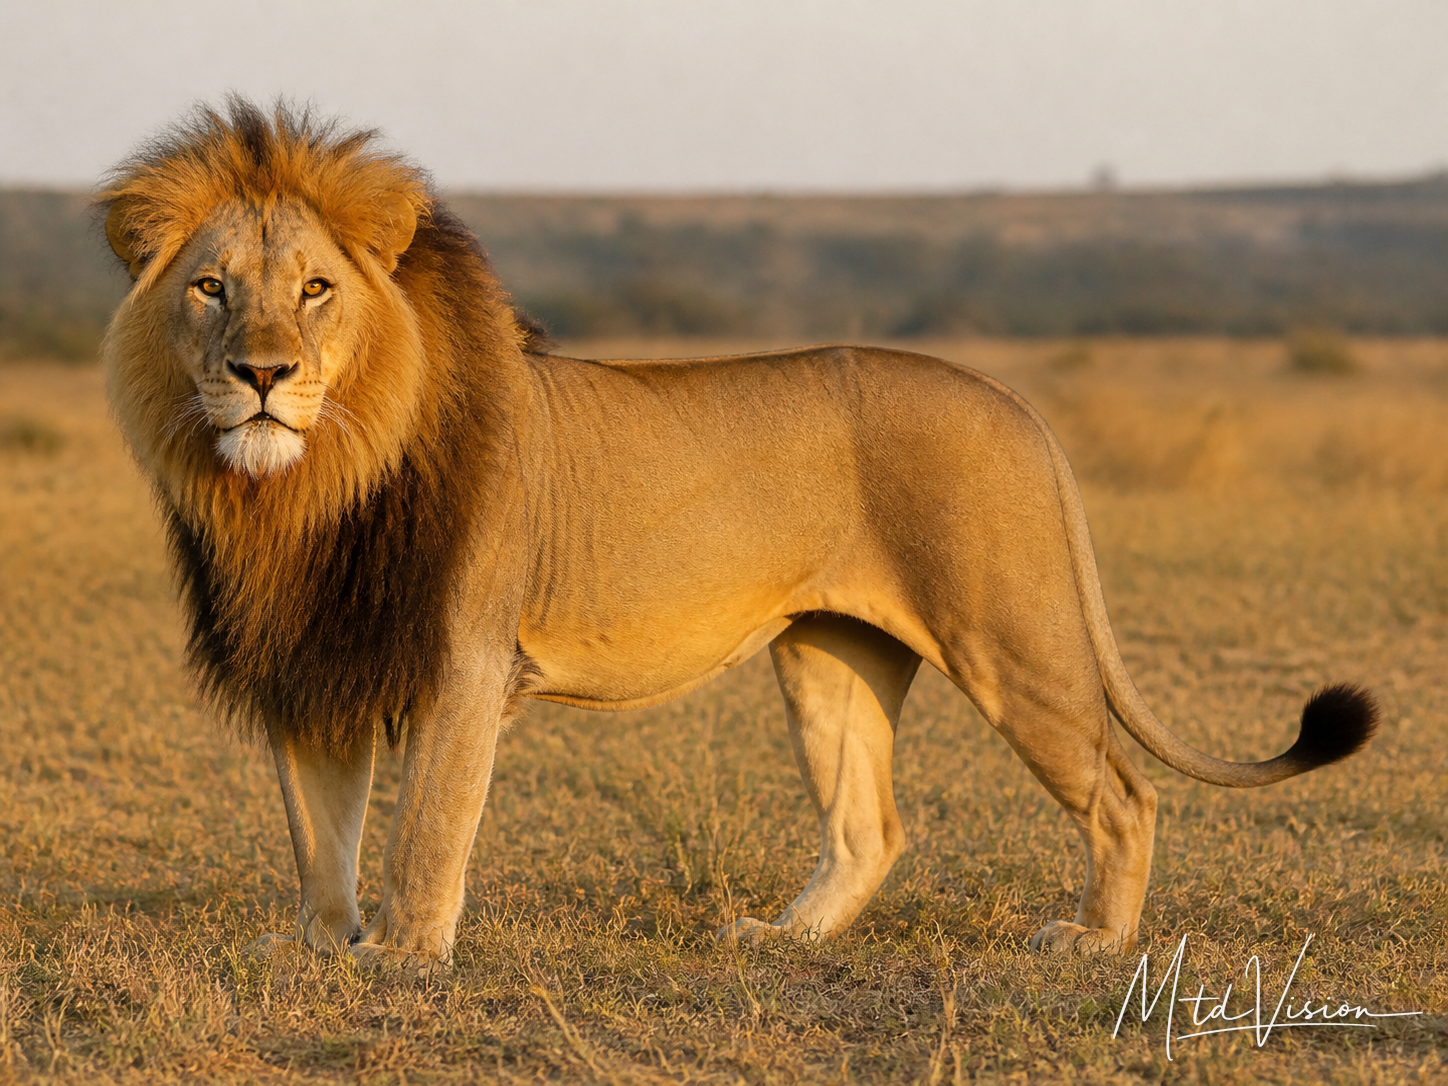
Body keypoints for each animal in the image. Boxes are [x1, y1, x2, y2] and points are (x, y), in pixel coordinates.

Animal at [98, 99, 1377, 968]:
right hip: (827, 655)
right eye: (211, 288)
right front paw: (318, 948)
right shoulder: (310, 656)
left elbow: (427, 829)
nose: (263, 375)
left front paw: (404, 960)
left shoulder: (461, 660)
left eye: (315, 290)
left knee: (1123, 795)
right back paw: (784, 938)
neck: (300, 492)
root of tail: (1015, 402)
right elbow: (318, 831)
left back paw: (1093, 943)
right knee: (871, 827)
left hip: (1009, 638)